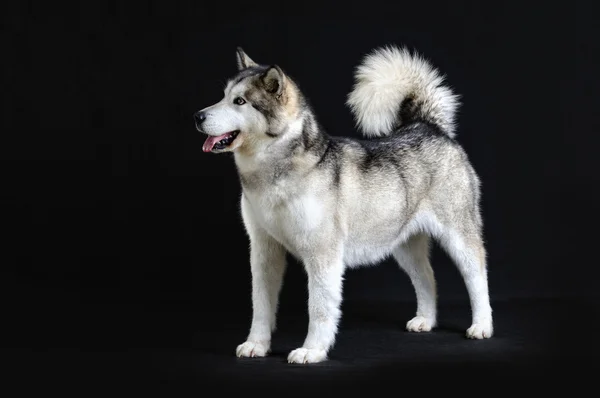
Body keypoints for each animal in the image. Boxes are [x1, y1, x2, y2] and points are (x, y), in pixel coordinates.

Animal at [195, 45, 494, 364]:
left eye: (239, 101)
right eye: (223, 96)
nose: (197, 116)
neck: (272, 174)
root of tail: (428, 127)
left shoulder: (322, 255)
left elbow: (319, 307)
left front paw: (312, 350)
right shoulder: (264, 250)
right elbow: (261, 305)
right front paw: (257, 345)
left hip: (458, 237)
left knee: (477, 277)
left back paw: (481, 325)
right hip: (402, 244)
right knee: (427, 277)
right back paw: (425, 320)